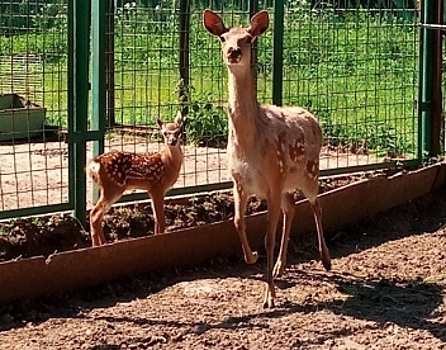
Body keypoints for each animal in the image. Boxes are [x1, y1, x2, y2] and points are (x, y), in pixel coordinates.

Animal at [86, 112, 184, 246]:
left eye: (178, 131)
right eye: (165, 133)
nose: (173, 141)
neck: (167, 163)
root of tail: (94, 164)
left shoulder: (152, 191)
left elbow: (156, 219)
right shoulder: (157, 187)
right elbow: (161, 219)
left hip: (109, 188)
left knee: (98, 215)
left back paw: (104, 243)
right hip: (113, 187)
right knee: (94, 214)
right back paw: (96, 246)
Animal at [203, 9, 332, 308]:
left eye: (249, 38)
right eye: (223, 37)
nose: (234, 51)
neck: (249, 144)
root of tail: (314, 119)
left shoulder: (273, 178)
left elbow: (268, 238)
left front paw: (269, 297)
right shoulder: (240, 182)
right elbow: (237, 222)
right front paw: (252, 258)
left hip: (309, 172)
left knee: (317, 205)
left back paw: (326, 259)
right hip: (287, 183)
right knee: (292, 207)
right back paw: (280, 266)